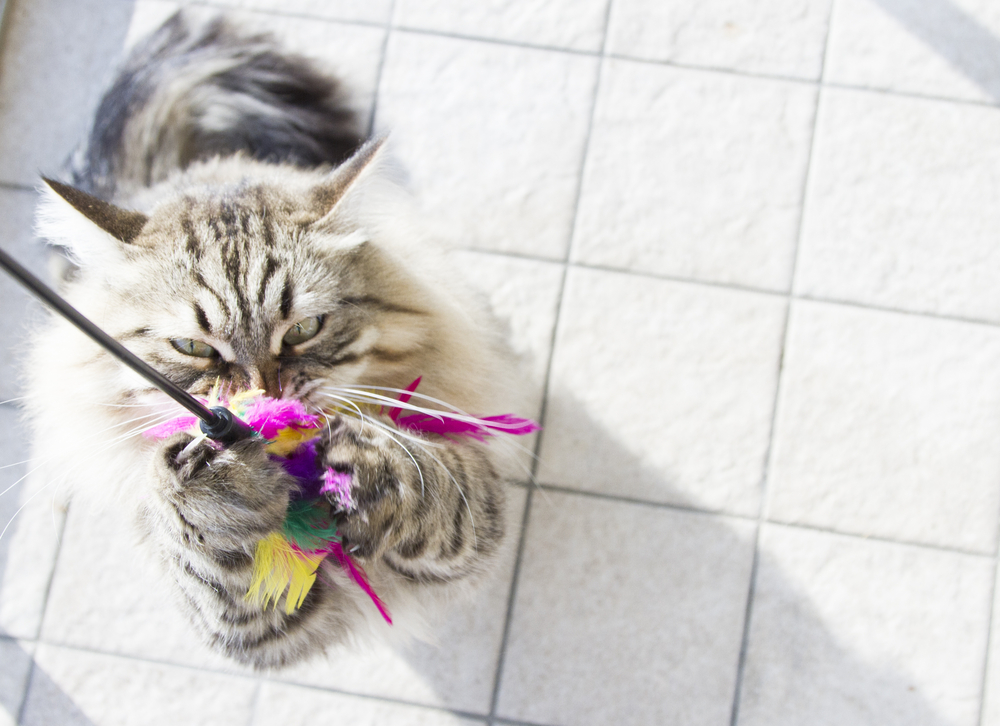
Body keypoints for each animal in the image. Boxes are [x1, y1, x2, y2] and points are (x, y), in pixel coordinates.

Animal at [21, 11, 532, 672]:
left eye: (304, 330)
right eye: (193, 348)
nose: (262, 401)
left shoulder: (475, 507)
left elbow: (435, 480)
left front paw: (370, 466)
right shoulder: (260, 625)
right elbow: (211, 557)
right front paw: (213, 479)